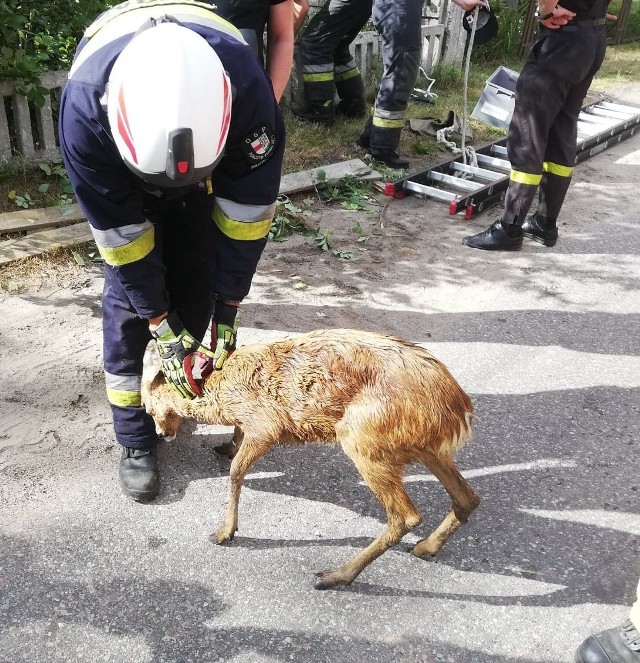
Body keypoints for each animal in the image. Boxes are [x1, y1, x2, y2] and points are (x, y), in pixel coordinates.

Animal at [141, 330, 480, 588]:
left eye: (146, 407)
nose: (161, 434)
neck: (219, 391)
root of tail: (458, 409)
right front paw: (227, 447)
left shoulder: (266, 425)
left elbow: (236, 472)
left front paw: (225, 532)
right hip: (425, 447)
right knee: (468, 497)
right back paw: (426, 547)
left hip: (365, 438)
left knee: (406, 516)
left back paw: (336, 576)